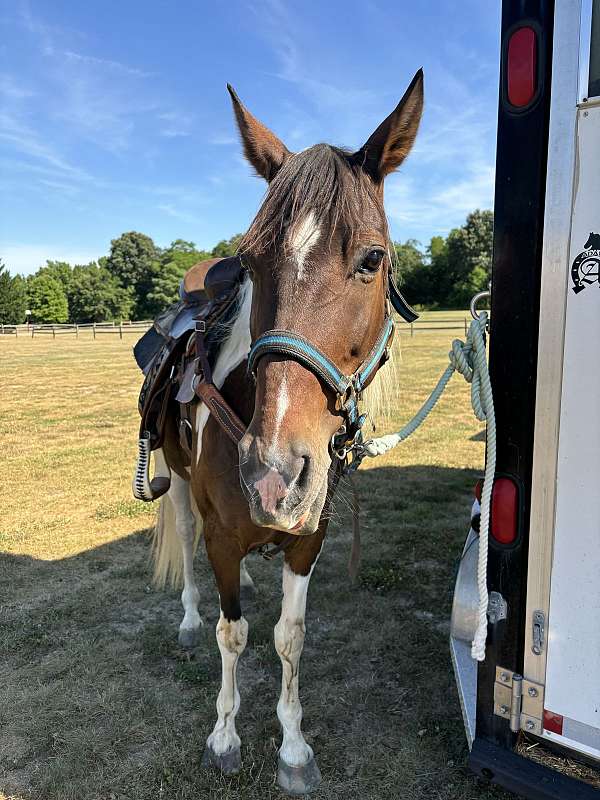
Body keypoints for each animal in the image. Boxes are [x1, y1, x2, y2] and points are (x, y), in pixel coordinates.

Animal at [152, 69, 424, 792]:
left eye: (372, 258)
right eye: (250, 262)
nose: (273, 474)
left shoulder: (308, 540)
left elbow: (287, 637)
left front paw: (295, 749)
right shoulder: (223, 534)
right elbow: (232, 636)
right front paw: (224, 735)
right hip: (180, 486)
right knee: (187, 544)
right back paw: (190, 616)